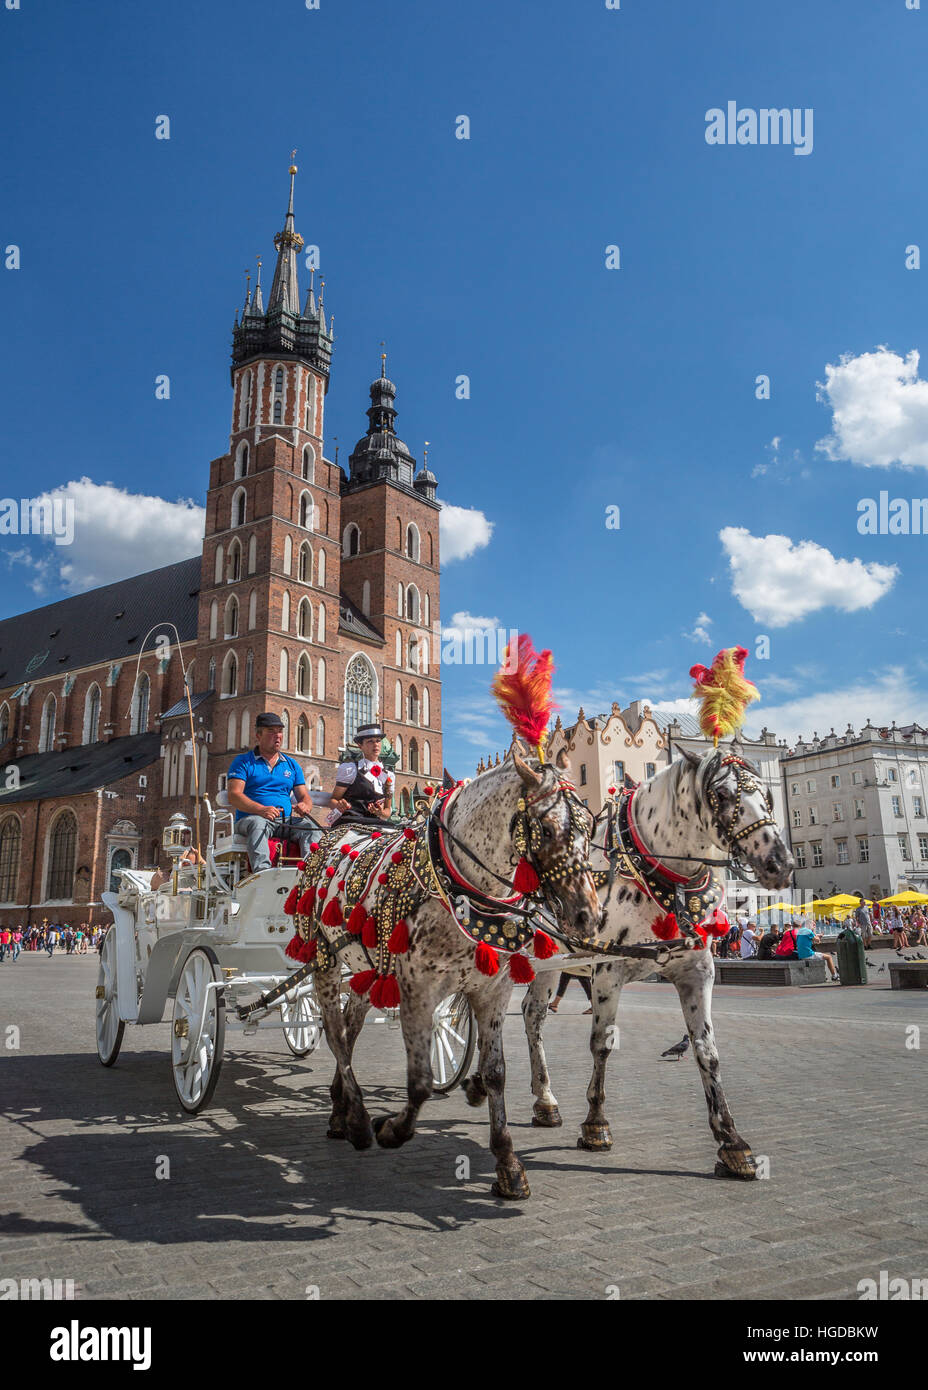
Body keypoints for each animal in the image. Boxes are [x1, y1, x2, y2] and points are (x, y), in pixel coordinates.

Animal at [461, 750, 794, 1184]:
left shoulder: (698, 971)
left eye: (769, 797)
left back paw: (543, 1099)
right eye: (721, 794)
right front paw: (596, 1125)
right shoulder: (607, 970)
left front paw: (732, 1142)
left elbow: (707, 1050)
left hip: (548, 962)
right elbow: (601, 1044)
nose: (780, 863)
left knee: (532, 1016)